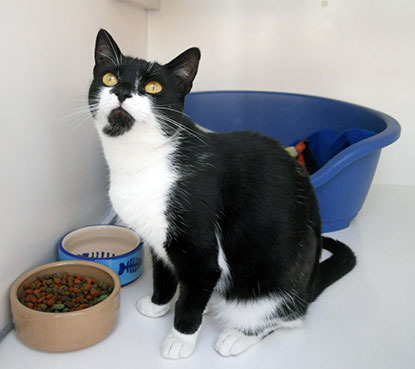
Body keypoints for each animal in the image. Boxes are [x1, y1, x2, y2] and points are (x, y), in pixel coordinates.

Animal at [88, 30, 358, 358]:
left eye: (153, 87)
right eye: (110, 78)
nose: (123, 91)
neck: (138, 158)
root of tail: (308, 286)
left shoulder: (201, 251)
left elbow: (192, 297)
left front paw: (180, 339)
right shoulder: (156, 241)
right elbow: (163, 275)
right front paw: (157, 306)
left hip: (270, 291)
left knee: (286, 317)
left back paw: (238, 336)